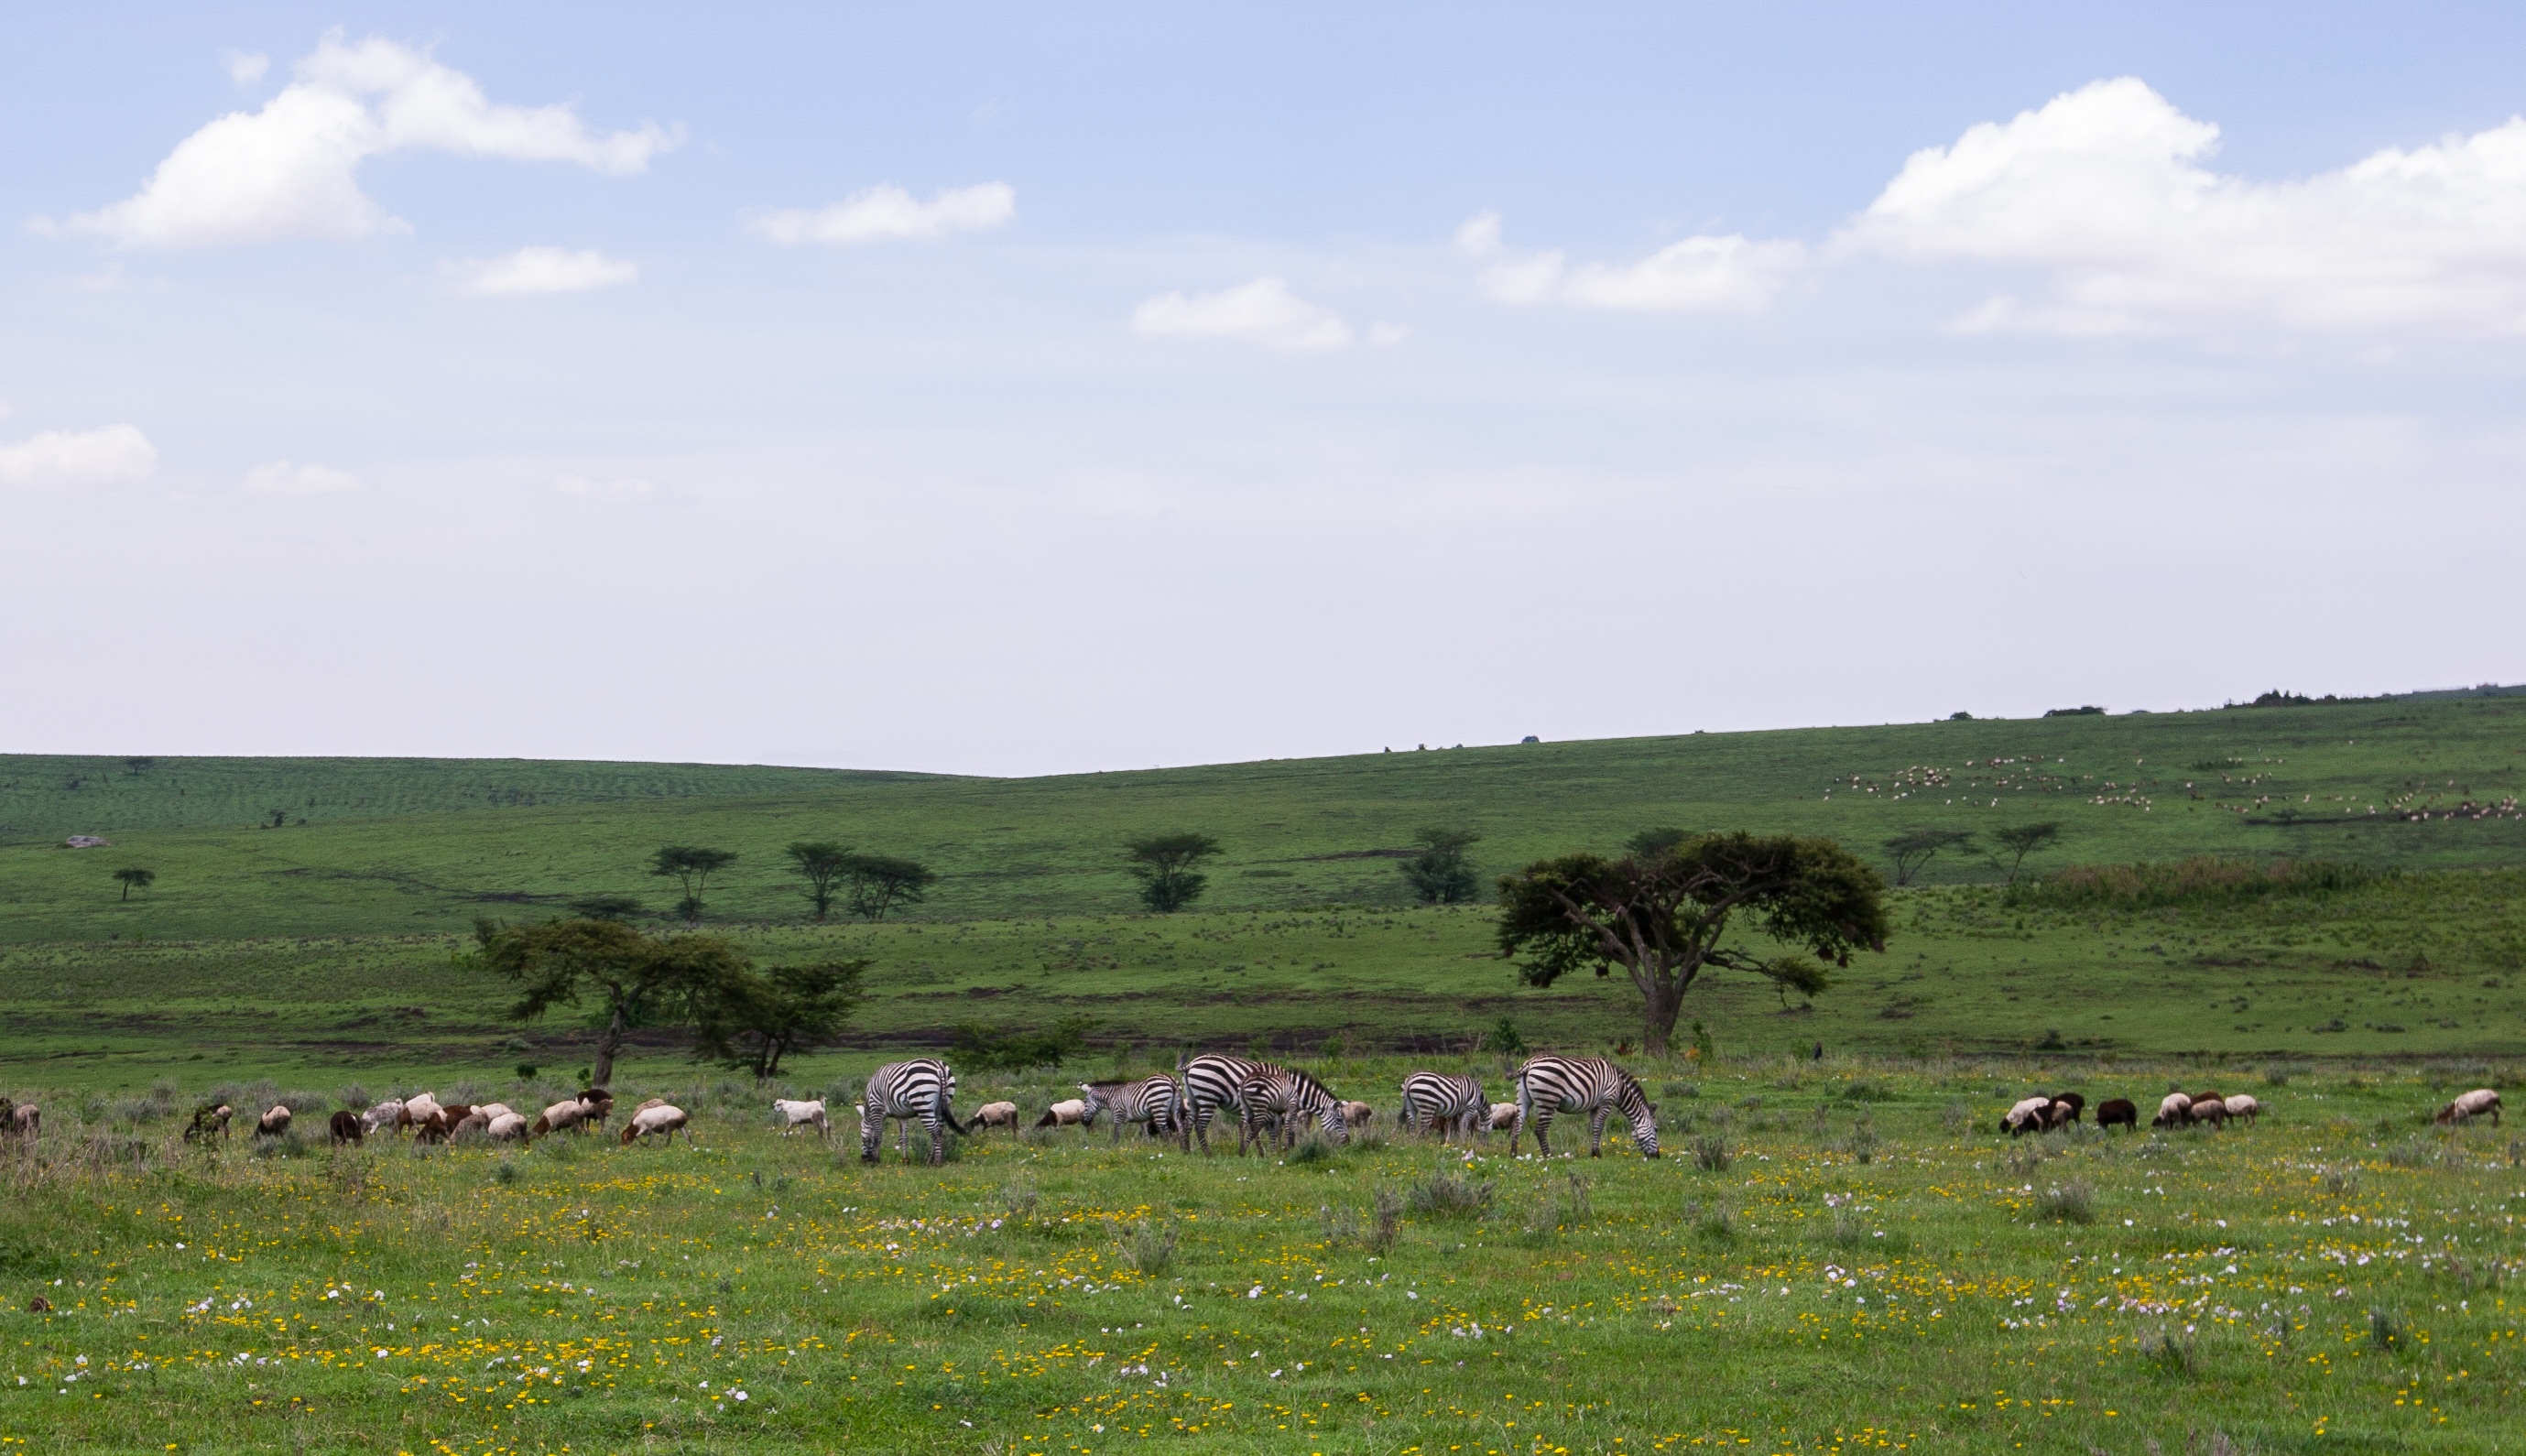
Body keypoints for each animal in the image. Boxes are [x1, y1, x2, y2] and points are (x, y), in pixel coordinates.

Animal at [1505, 1054, 1667, 1160]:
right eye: (1656, 1129)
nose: (1657, 1156)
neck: (1619, 1088)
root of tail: (1530, 1063)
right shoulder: (1606, 1102)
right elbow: (1599, 1127)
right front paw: (1597, 1153)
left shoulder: (1594, 1107)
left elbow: (1593, 1127)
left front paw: (1593, 1152)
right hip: (1549, 1099)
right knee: (1540, 1130)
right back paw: (1549, 1155)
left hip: (1523, 1097)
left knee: (1518, 1124)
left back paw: (1513, 1154)